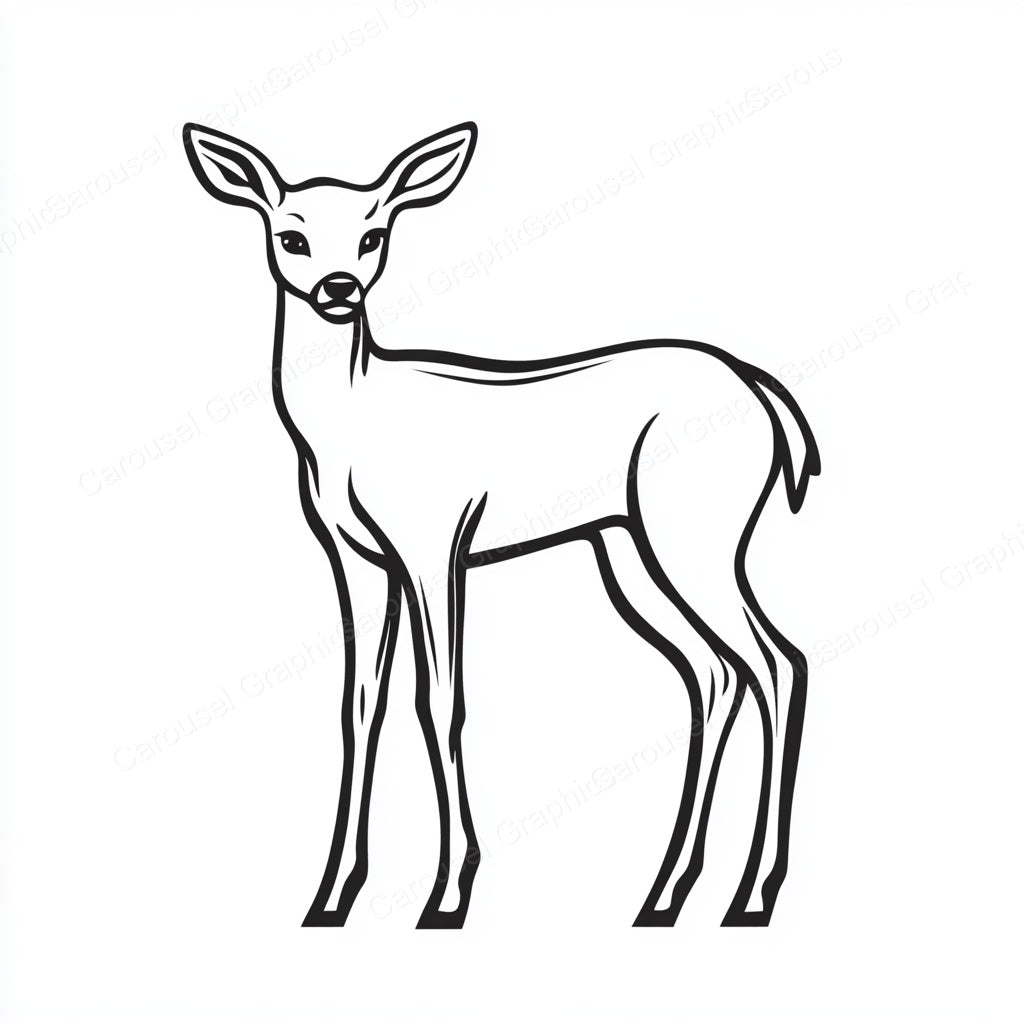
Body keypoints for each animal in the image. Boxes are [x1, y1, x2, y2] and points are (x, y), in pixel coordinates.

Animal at [183, 120, 820, 929]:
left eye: (374, 235)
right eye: (290, 237)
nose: (339, 289)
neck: (350, 425)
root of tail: (761, 391)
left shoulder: (434, 544)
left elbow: (439, 700)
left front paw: (449, 894)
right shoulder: (356, 560)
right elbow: (359, 706)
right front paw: (330, 897)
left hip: (695, 537)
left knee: (777, 663)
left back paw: (752, 896)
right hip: (627, 550)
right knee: (714, 674)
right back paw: (664, 895)